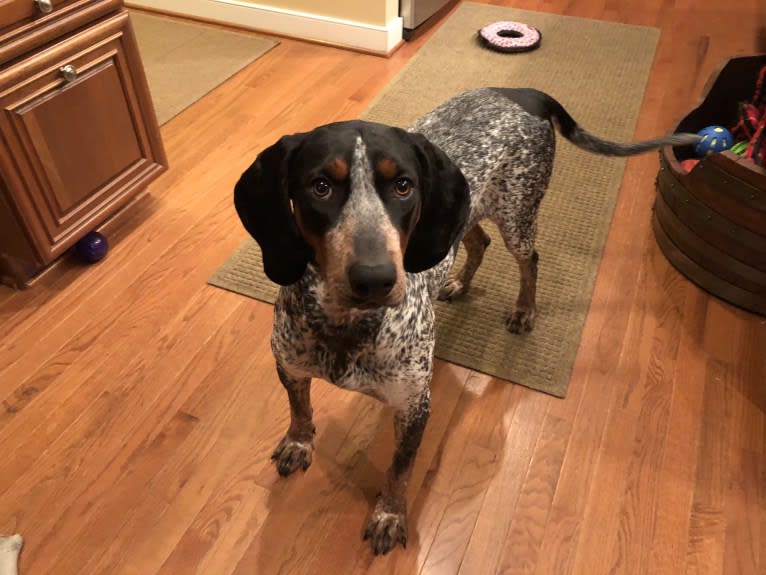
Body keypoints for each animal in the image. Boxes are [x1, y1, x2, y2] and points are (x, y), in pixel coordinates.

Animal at [234, 86, 704, 560]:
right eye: (321, 187)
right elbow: (300, 409)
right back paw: (459, 281)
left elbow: (400, 469)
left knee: (529, 259)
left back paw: (524, 310)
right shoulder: (290, 367)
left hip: (517, 217)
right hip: (464, 218)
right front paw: (299, 442)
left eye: (403, 186)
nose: (375, 278)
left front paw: (389, 514)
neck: (345, 326)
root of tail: (523, 93)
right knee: (479, 241)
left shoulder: (414, 406)